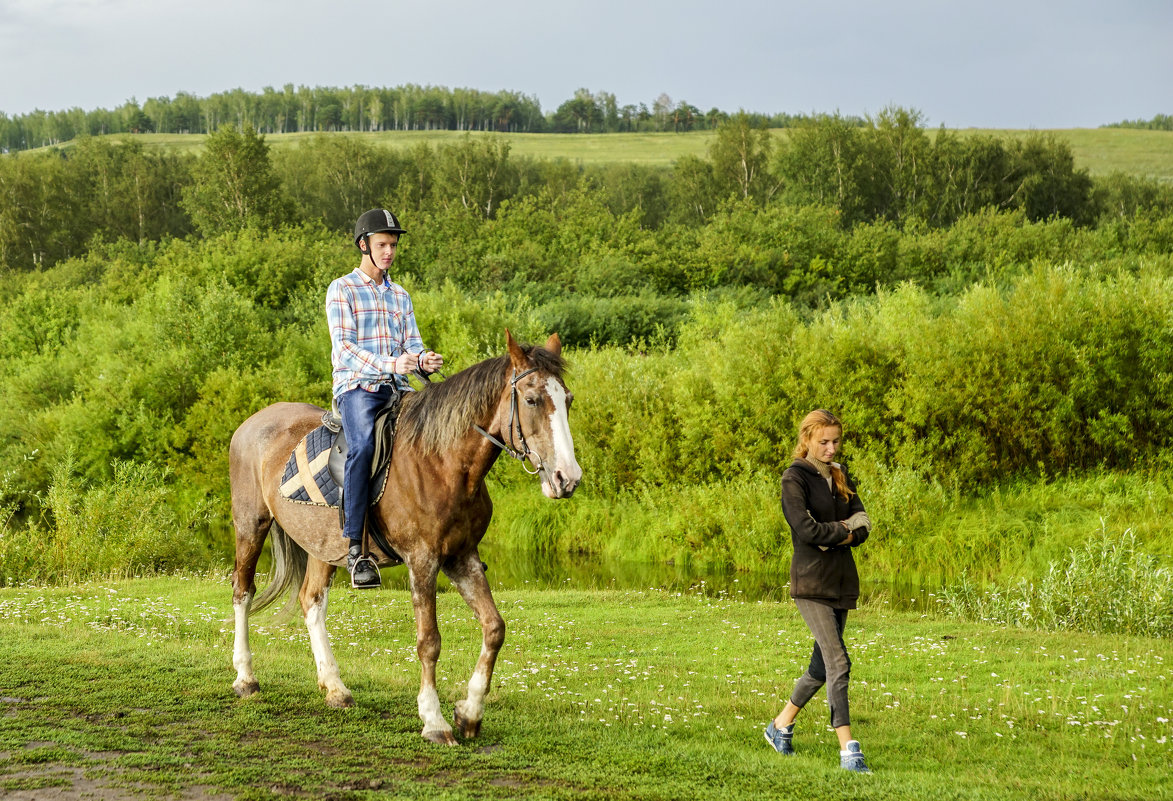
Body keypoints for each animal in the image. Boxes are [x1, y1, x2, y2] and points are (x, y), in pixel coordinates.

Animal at [226, 333, 579, 745]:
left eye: (568, 399)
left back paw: (335, 688)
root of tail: (254, 422)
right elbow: (429, 641)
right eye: (532, 399)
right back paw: (245, 678)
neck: (442, 462)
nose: (567, 478)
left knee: (311, 600)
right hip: (251, 524)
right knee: (243, 591)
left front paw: (469, 713)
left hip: (323, 546)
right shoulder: (423, 560)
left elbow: (494, 629)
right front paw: (434, 720)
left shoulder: (462, 557)